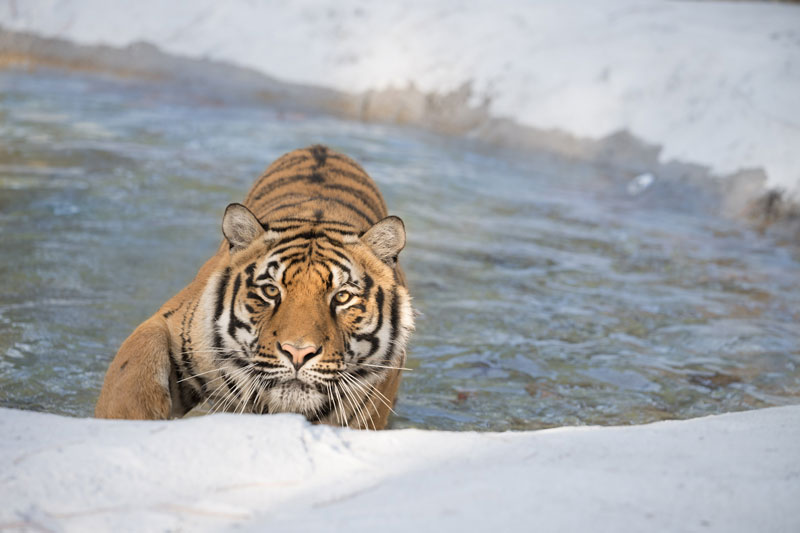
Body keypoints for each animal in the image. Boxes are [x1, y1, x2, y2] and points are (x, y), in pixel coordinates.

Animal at [95, 145, 414, 430]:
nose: (298, 353)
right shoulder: (170, 323)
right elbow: (134, 375)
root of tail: (322, 147)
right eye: (271, 291)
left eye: (342, 297)